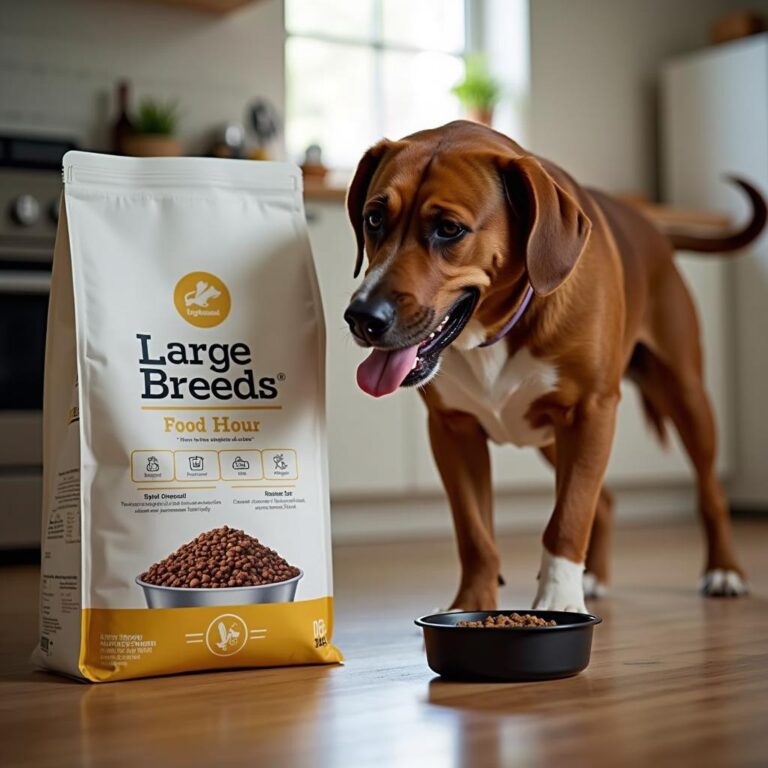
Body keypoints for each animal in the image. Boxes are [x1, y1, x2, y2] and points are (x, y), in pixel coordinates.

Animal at [344, 121, 764, 612]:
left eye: (448, 229)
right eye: (374, 219)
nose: (362, 317)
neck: (498, 328)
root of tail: (653, 225)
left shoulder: (589, 414)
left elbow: (568, 518)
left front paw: (558, 602)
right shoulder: (453, 430)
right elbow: (475, 534)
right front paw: (472, 604)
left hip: (685, 396)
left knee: (710, 491)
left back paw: (724, 570)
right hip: (549, 437)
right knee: (606, 502)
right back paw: (593, 576)